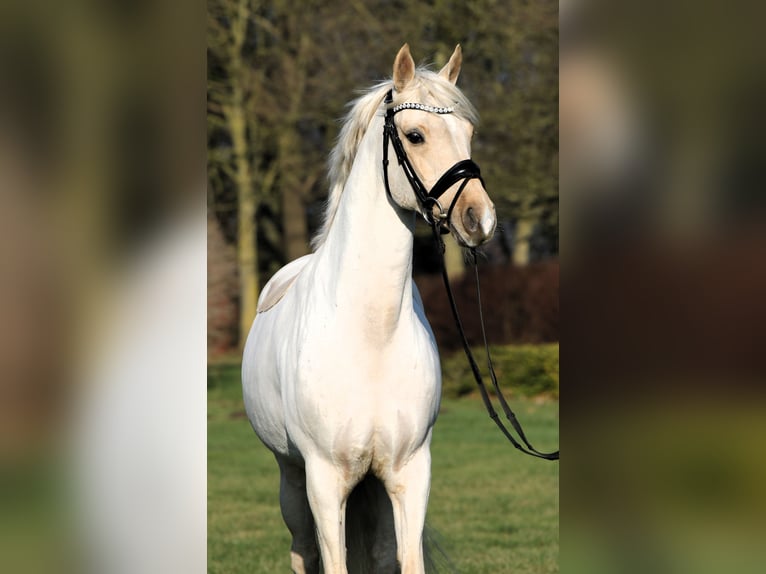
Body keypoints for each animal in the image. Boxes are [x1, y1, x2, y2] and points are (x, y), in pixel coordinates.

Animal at [243, 45, 500, 574]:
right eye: (415, 135)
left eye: (468, 133)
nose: (479, 219)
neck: (370, 333)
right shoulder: (324, 480)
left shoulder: (410, 472)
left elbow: (404, 557)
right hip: (291, 479)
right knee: (302, 551)